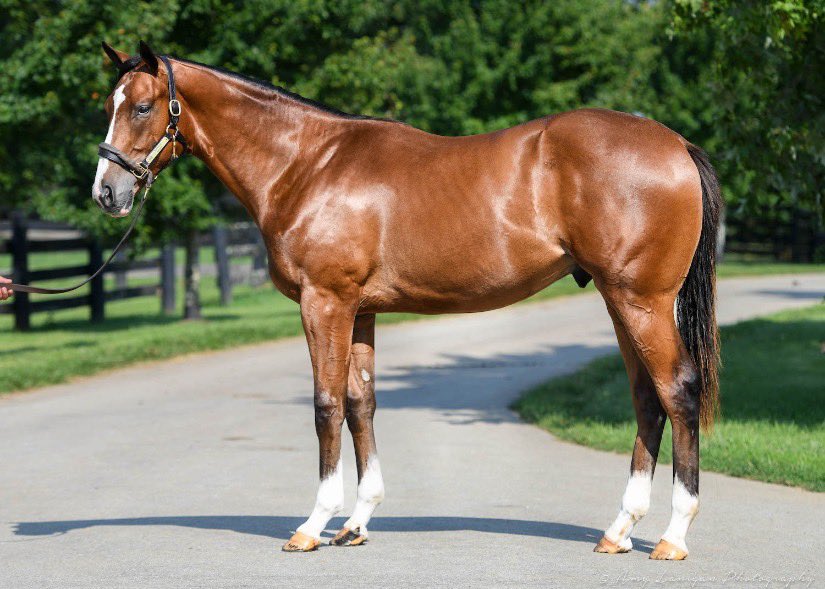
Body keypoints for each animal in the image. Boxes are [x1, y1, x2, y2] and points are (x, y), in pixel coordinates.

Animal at [93, 41, 721, 560]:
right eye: (109, 103)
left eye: (142, 107)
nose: (106, 192)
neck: (306, 164)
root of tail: (676, 143)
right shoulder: (360, 311)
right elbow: (360, 405)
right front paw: (355, 523)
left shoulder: (324, 303)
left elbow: (325, 405)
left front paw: (313, 525)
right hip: (621, 302)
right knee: (646, 400)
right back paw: (620, 530)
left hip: (641, 301)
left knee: (677, 391)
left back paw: (673, 536)